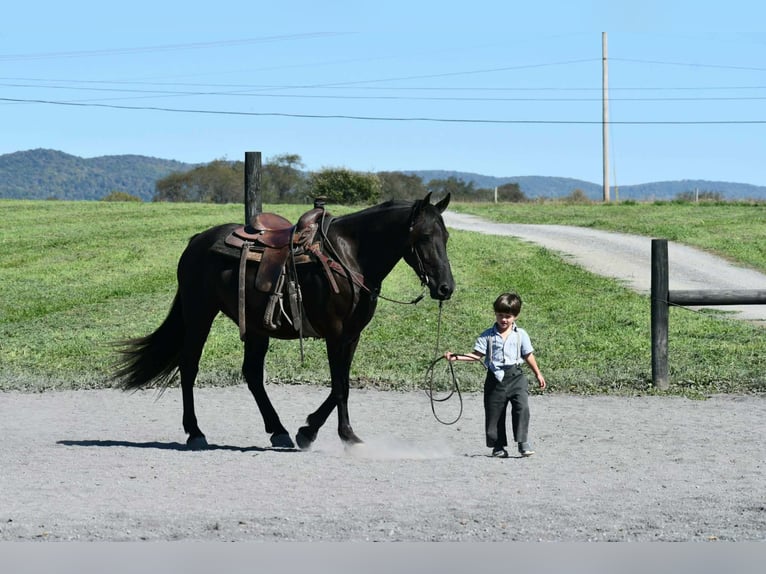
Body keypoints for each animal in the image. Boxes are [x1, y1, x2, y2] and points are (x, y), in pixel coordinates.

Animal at [114, 192, 454, 450]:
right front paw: (333, 435)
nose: (445, 288)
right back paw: (195, 433)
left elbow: (342, 384)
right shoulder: (335, 333)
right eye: (424, 236)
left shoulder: (351, 336)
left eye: (446, 236)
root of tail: (196, 241)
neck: (349, 257)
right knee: (189, 366)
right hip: (199, 314)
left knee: (251, 374)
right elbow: (340, 386)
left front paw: (316, 431)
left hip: (254, 326)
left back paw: (278, 430)